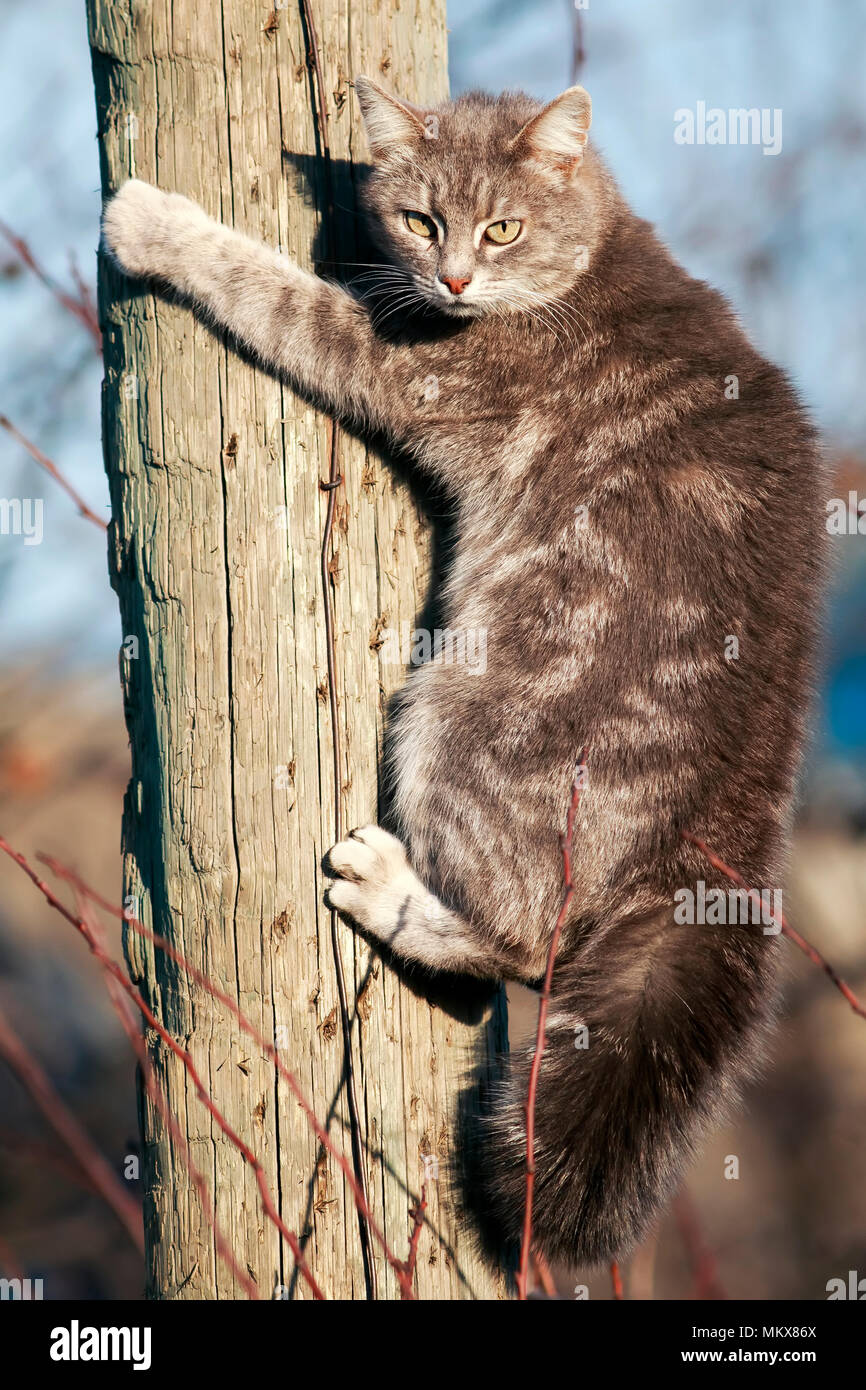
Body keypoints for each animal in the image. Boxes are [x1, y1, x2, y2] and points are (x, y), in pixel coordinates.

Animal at [103, 78, 828, 1273]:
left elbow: (272, 290)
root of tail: (740, 800)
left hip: (461, 715)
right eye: (420, 218)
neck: (581, 269)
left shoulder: (398, 361)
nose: (451, 279)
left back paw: (388, 886)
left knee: (523, 943)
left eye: (502, 229)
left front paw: (157, 223)